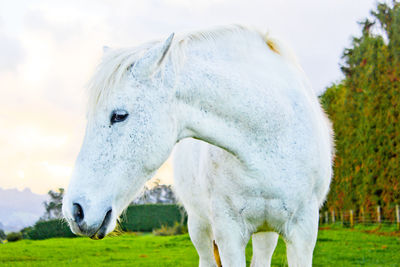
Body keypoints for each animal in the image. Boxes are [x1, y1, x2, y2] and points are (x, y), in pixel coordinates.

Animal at [63, 25, 334, 267]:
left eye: (119, 116)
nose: (75, 211)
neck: (272, 133)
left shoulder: (303, 233)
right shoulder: (228, 233)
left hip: (265, 233)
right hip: (200, 225)